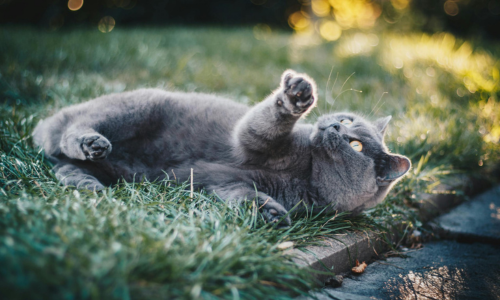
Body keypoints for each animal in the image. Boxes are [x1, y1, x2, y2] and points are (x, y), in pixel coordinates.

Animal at [34, 70, 410, 225]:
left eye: (357, 145)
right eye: (346, 119)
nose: (332, 125)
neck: (307, 173)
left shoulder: (230, 184)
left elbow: (242, 195)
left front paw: (271, 214)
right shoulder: (250, 141)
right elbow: (261, 125)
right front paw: (296, 95)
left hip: (122, 171)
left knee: (62, 165)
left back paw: (88, 184)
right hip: (134, 109)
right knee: (70, 131)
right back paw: (90, 142)